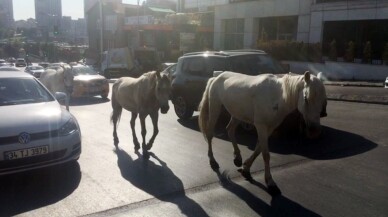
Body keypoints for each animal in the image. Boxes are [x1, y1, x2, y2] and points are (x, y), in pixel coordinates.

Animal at [197, 71, 328, 195]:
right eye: (306, 98)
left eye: (323, 100)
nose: (314, 131)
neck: (278, 97)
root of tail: (216, 77)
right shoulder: (261, 126)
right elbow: (265, 154)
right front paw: (270, 183)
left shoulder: (270, 128)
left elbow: (258, 148)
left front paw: (246, 168)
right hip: (215, 107)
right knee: (210, 134)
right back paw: (213, 161)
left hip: (237, 114)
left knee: (230, 129)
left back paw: (237, 158)